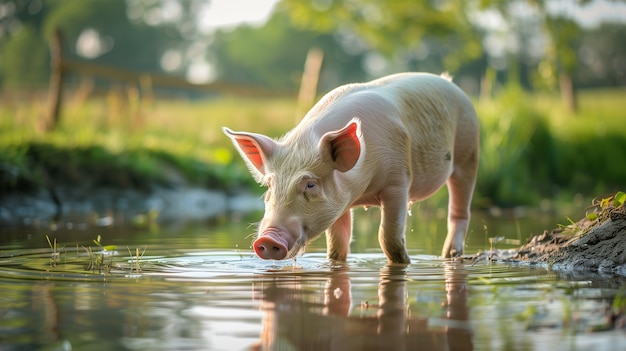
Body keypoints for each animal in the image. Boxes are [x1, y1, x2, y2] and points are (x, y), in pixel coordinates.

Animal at [223, 72, 478, 264]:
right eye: (270, 185)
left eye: (310, 184)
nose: (267, 240)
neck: (362, 191)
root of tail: (449, 82)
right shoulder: (340, 204)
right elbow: (337, 245)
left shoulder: (398, 181)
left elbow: (388, 237)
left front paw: (405, 262)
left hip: (469, 152)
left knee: (460, 208)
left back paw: (451, 255)